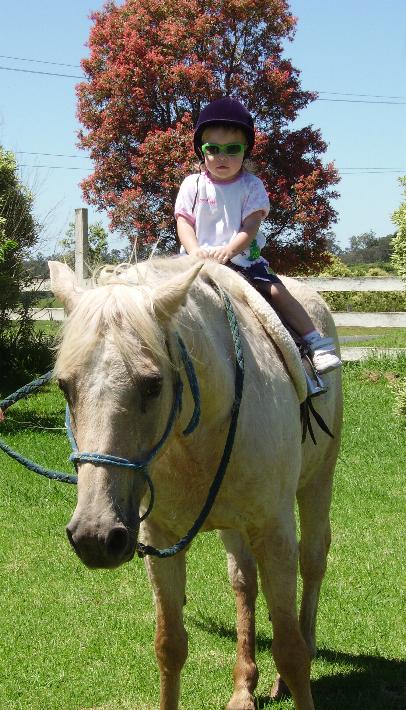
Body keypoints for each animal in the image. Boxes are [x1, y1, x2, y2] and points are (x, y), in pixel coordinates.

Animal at [50, 258, 342, 710]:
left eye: (153, 384)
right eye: (65, 385)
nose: (95, 536)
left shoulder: (275, 532)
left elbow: (290, 651)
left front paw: (294, 670)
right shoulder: (159, 539)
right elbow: (169, 646)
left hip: (317, 483)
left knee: (313, 561)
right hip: (235, 528)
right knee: (243, 582)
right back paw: (244, 687)